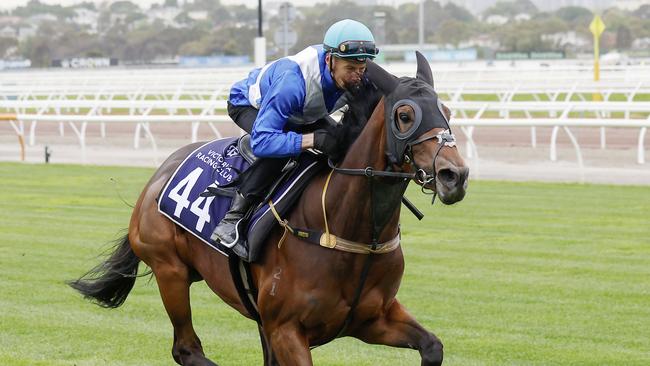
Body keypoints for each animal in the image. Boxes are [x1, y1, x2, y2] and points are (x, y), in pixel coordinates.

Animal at [69, 54, 466, 366]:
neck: (346, 230)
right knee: (186, 349)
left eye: (446, 111)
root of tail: (158, 175)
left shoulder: (374, 319)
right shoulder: (286, 330)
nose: (455, 175)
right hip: (171, 271)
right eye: (405, 115)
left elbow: (433, 347)